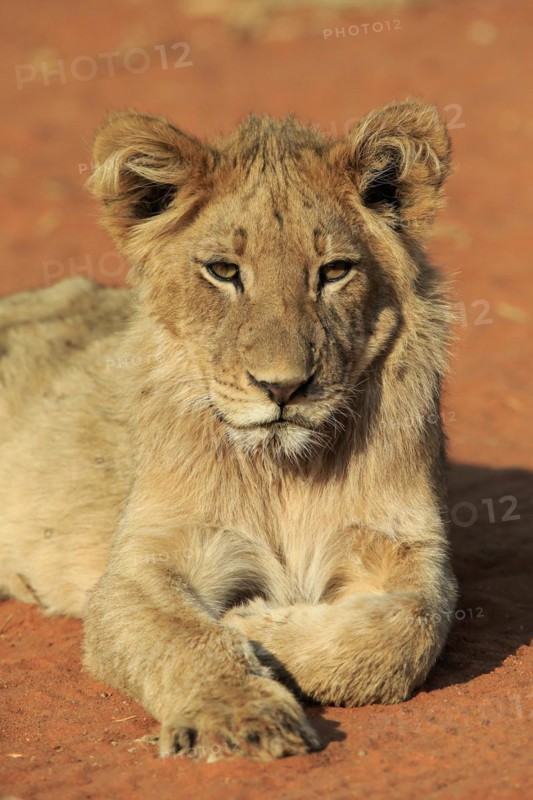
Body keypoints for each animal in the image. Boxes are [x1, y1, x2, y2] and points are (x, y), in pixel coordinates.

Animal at [0, 99, 457, 761]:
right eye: (223, 271)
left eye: (334, 271)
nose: (283, 388)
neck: (286, 472)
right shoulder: (141, 565)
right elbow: (184, 636)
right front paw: (242, 716)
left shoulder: (409, 545)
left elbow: (407, 630)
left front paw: (255, 624)